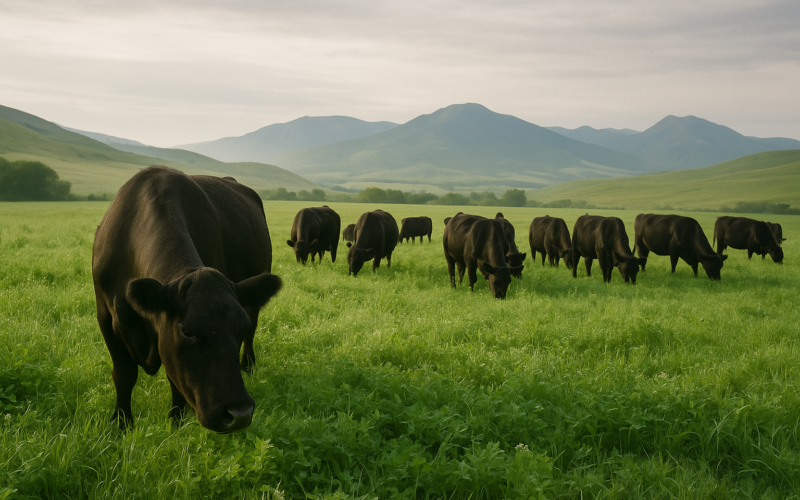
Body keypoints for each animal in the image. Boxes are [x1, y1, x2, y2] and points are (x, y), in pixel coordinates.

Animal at [92, 167, 282, 433]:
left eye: (239, 329)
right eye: (188, 332)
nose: (240, 414)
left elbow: (175, 380)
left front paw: (176, 421)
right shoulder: (105, 314)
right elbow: (124, 374)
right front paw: (121, 422)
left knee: (254, 328)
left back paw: (248, 364)